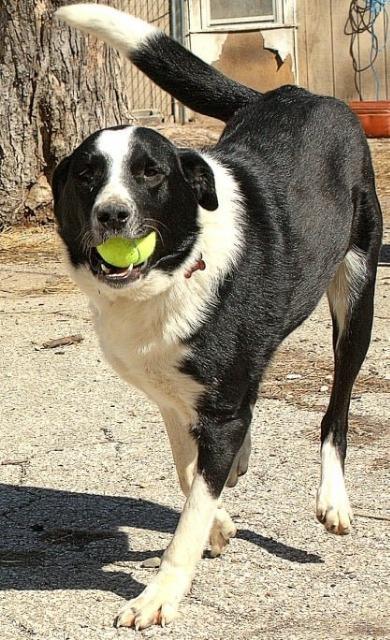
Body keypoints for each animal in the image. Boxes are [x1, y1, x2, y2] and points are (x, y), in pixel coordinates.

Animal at [52, 1, 380, 632]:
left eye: (151, 173)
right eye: (85, 175)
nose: (112, 215)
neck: (175, 271)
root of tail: (300, 92)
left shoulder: (218, 406)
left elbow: (189, 516)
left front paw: (158, 596)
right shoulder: (173, 396)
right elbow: (191, 479)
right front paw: (220, 520)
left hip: (357, 298)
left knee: (336, 409)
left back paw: (332, 498)